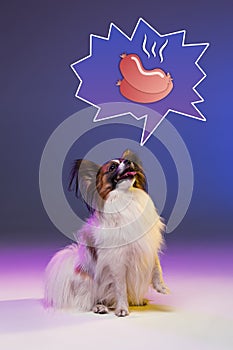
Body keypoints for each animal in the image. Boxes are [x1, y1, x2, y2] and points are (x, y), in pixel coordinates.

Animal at [44, 149, 168, 316]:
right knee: (88, 300)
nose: (128, 162)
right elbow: (120, 287)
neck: (126, 197)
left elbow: (156, 267)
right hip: (88, 281)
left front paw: (160, 286)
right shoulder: (117, 261)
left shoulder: (148, 244)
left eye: (126, 161)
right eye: (112, 168)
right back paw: (99, 306)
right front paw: (122, 308)